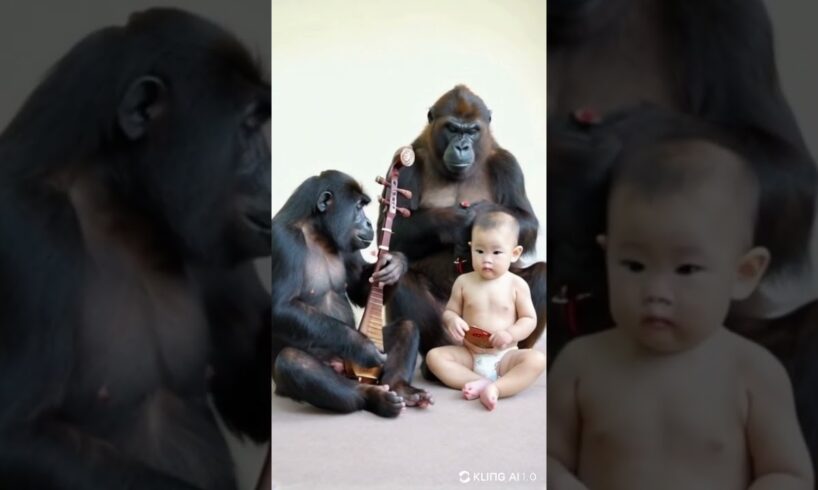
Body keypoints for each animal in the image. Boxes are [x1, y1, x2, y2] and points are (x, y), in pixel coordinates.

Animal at [0, 8, 270, 490]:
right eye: (248, 126)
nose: (270, 163)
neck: (124, 203)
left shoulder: (212, 238)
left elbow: (252, 399)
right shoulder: (27, 232)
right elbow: (19, 434)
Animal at [384, 85, 544, 376]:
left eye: (472, 131)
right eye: (452, 128)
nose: (461, 145)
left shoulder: (507, 163)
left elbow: (527, 220)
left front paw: (480, 214)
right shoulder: (406, 160)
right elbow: (395, 232)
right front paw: (458, 222)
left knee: (540, 275)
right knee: (404, 278)